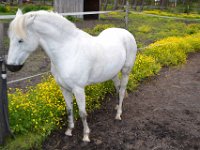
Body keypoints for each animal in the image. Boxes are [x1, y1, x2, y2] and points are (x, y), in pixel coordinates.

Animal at [6, 9, 138, 142]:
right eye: (10, 38)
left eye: (20, 40)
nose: (10, 66)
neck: (68, 51)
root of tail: (126, 33)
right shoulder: (64, 88)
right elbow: (69, 109)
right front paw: (69, 130)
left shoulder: (78, 89)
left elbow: (82, 113)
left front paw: (86, 136)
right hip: (113, 73)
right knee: (118, 89)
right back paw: (117, 107)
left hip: (126, 71)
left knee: (122, 91)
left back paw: (118, 115)